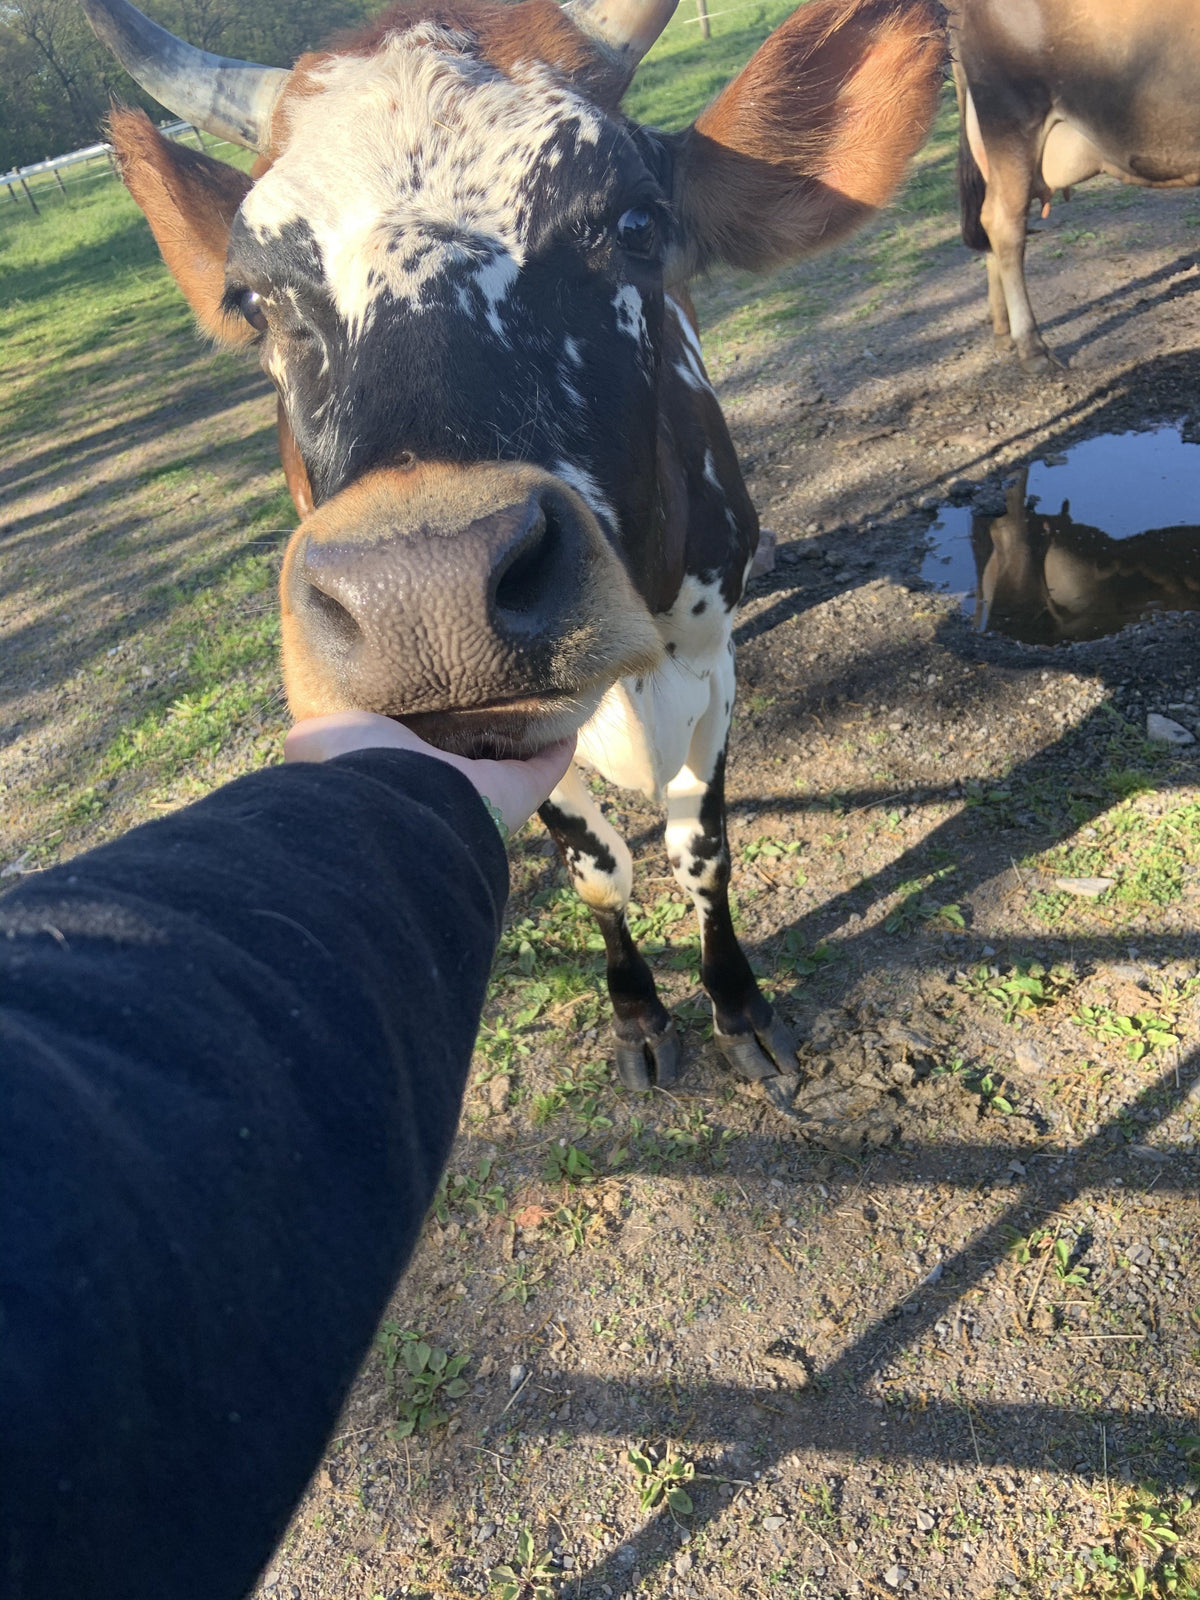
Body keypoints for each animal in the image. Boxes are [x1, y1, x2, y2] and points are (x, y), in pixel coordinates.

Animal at [84, 0, 944, 1110]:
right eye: (253, 299)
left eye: (636, 225)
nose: (422, 596)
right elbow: (598, 869)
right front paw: (639, 1015)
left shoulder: (712, 666)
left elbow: (699, 850)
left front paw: (739, 1005)